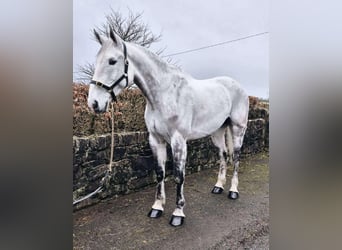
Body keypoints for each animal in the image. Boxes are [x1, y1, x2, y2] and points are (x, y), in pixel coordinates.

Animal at [88, 28, 248, 227]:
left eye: (112, 61)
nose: (93, 103)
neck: (165, 94)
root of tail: (237, 86)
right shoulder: (155, 139)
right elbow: (160, 173)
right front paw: (157, 207)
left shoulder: (179, 141)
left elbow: (178, 175)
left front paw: (178, 213)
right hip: (217, 132)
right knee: (224, 155)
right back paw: (218, 187)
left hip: (238, 129)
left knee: (236, 157)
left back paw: (233, 191)